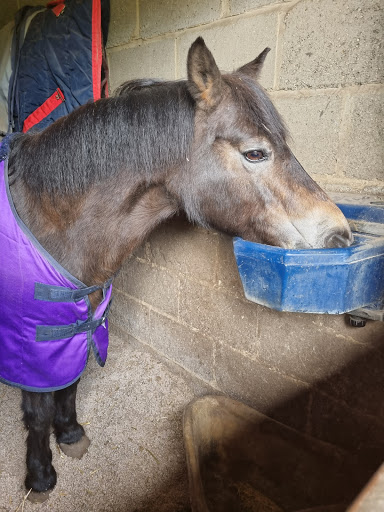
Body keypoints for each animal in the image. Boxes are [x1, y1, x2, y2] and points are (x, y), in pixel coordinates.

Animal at [3, 39, 352, 500]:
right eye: (255, 152)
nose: (340, 234)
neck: (48, 220)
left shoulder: (79, 322)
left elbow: (70, 384)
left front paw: (72, 434)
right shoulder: (33, 342)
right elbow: (38, 409)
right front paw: (40, 476)